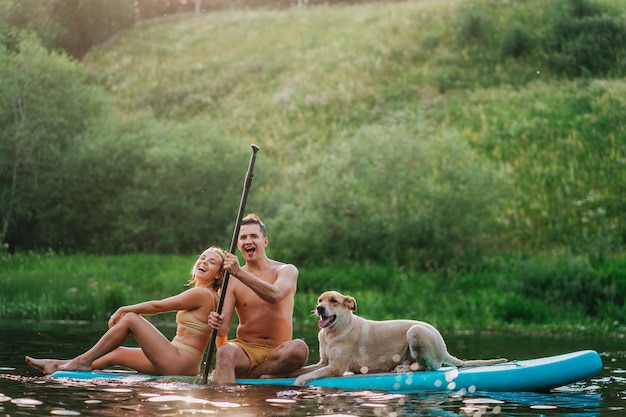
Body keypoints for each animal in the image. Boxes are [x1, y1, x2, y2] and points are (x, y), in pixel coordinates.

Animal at [290, 290, 504, 386]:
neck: (332, 332)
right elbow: (301, 369)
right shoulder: (323, 362)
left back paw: (403, 368)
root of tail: (444, 348)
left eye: (333, 300)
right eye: (320, 300)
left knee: (428, 367)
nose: (319, 308)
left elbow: (304, 376)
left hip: (415, 332)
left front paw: (299, 382)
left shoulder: (335, 367)